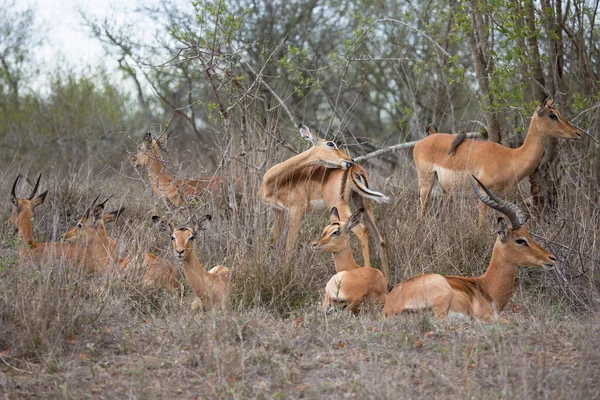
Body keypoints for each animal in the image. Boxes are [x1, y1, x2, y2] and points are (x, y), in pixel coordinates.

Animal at [260, 124, 392, 278]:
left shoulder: (296, 210)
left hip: (339, 205)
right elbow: (277, 240)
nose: (350, 160)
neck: (274, 181)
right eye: (330, 143)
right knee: (380, 240)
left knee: (362, 231)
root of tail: (355, 169)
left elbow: (290, 243)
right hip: (363, 204)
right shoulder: (278, 210)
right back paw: (387, 279)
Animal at [414, 97, 580, 222]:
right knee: (421, 214)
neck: (511, 158)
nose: (577, 133)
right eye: (552, 115)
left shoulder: (506, 196)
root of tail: (421, 142)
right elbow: (481, 225)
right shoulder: (483, 194)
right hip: (426, 184)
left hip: (446, 190)